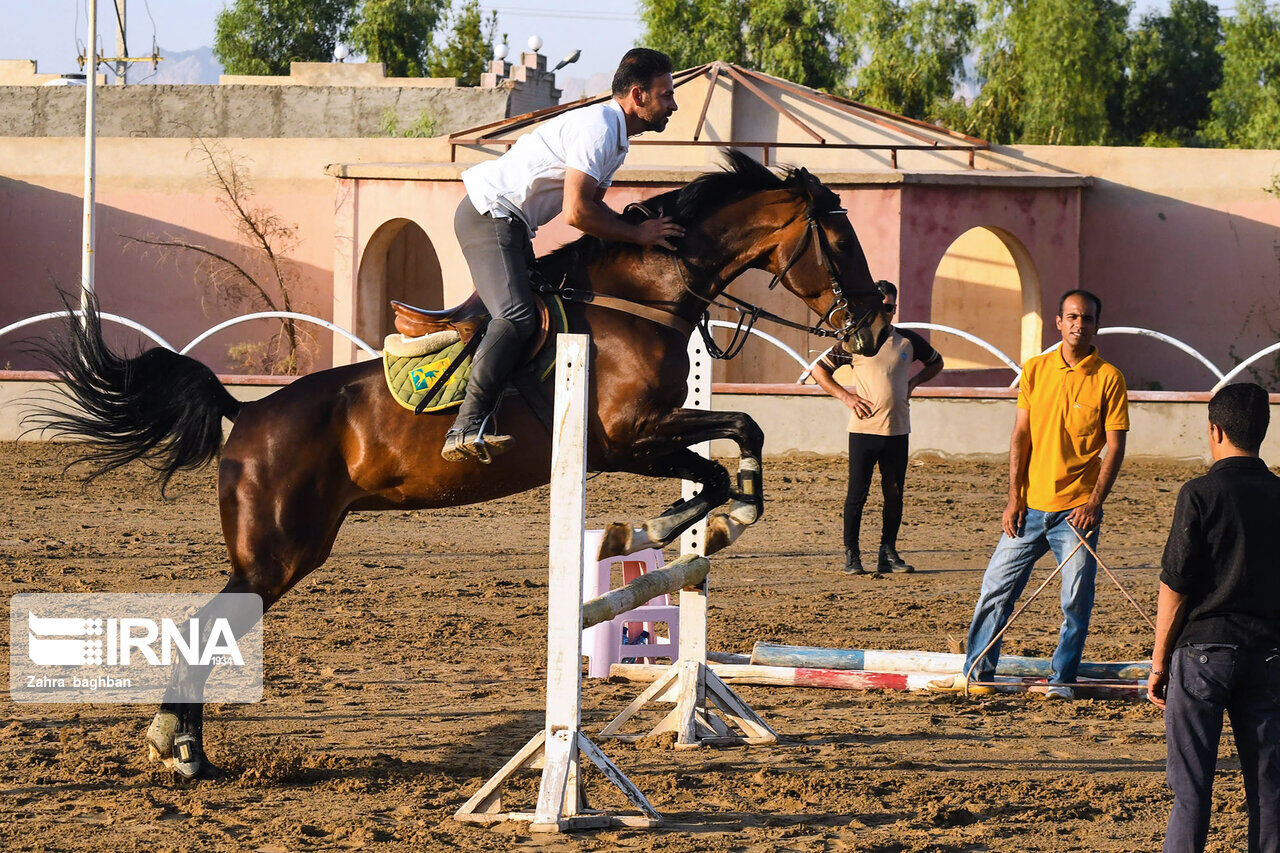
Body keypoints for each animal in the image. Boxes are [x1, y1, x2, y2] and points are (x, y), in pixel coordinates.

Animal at [32, 147, 890, 778]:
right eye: (841, 241)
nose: (875, 328)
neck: (641, 298)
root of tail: (247, 414)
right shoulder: (627, 435)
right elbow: (731, 443)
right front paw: (677, 526)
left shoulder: (640, 437)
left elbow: (740, 439)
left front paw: (706, 523)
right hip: (275, 555)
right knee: (206, 624)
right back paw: (174, 746)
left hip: (282, 555)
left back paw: (190, 750)